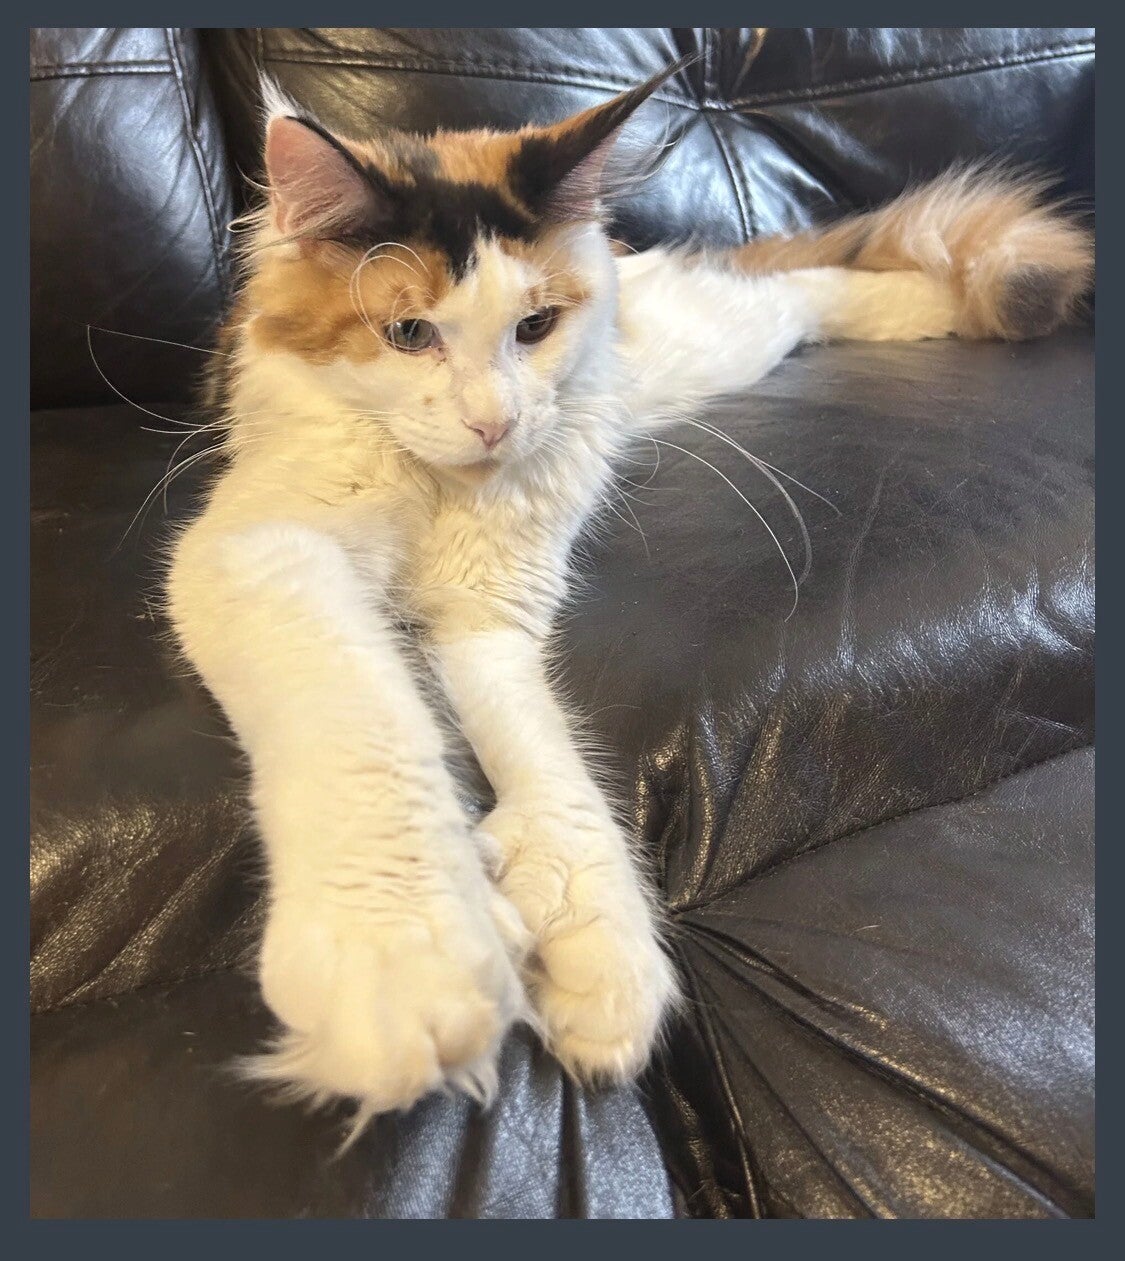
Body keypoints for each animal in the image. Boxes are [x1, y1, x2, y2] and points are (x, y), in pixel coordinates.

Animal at [165, 59, 1092, 1131]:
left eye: (532, 327)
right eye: (407, 333)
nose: (494, 425)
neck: (442, 487)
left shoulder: (488, 612)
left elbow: (547, 767)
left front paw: (593, 946)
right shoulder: (266, 546)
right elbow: (371, 727)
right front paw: (408, 955)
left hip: (699, 350)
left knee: (802, 287)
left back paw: (932, 303)